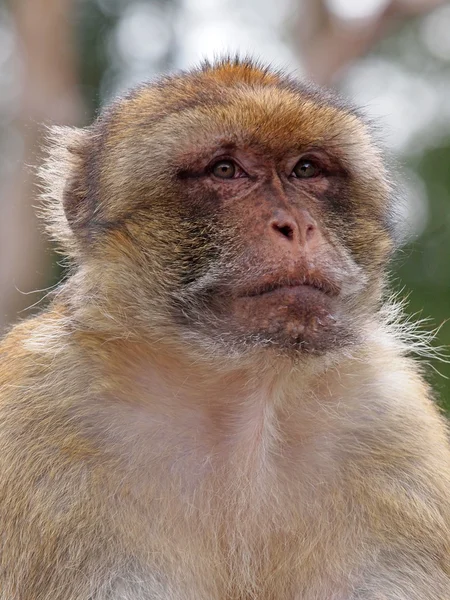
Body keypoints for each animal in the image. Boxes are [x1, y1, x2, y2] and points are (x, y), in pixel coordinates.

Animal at [0, 57, 450, 600]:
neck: (245, 391)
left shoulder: (394, 425)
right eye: (225, 170)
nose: (297, 226)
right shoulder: (36, 414)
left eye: (306, 169)